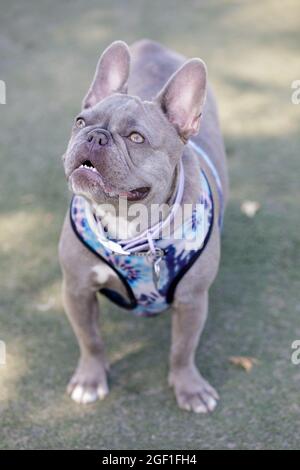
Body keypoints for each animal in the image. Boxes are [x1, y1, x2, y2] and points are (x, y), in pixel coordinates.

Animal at [58, 40, 227, 414]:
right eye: (80, 122)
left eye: (136, 138)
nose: (95, 136)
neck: (129, 224)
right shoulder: (77, 289)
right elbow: (89, 339)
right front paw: (90, 380)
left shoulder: (193, 301)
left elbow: (182, 349)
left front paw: (190, 388)